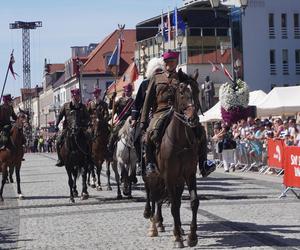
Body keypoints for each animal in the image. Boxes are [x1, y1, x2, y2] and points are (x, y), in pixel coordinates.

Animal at [144, 73, 200, 247]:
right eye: (181, 92)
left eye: (197, 91)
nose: (193, 119)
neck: (180, 140)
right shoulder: (168, 176)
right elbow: (174, 205)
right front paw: (177, 238)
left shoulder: (189, 175)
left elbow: (193, 202)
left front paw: (191, 236)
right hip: (152, 175)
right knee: (153, 196)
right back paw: (153, 225)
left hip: (178, 180)